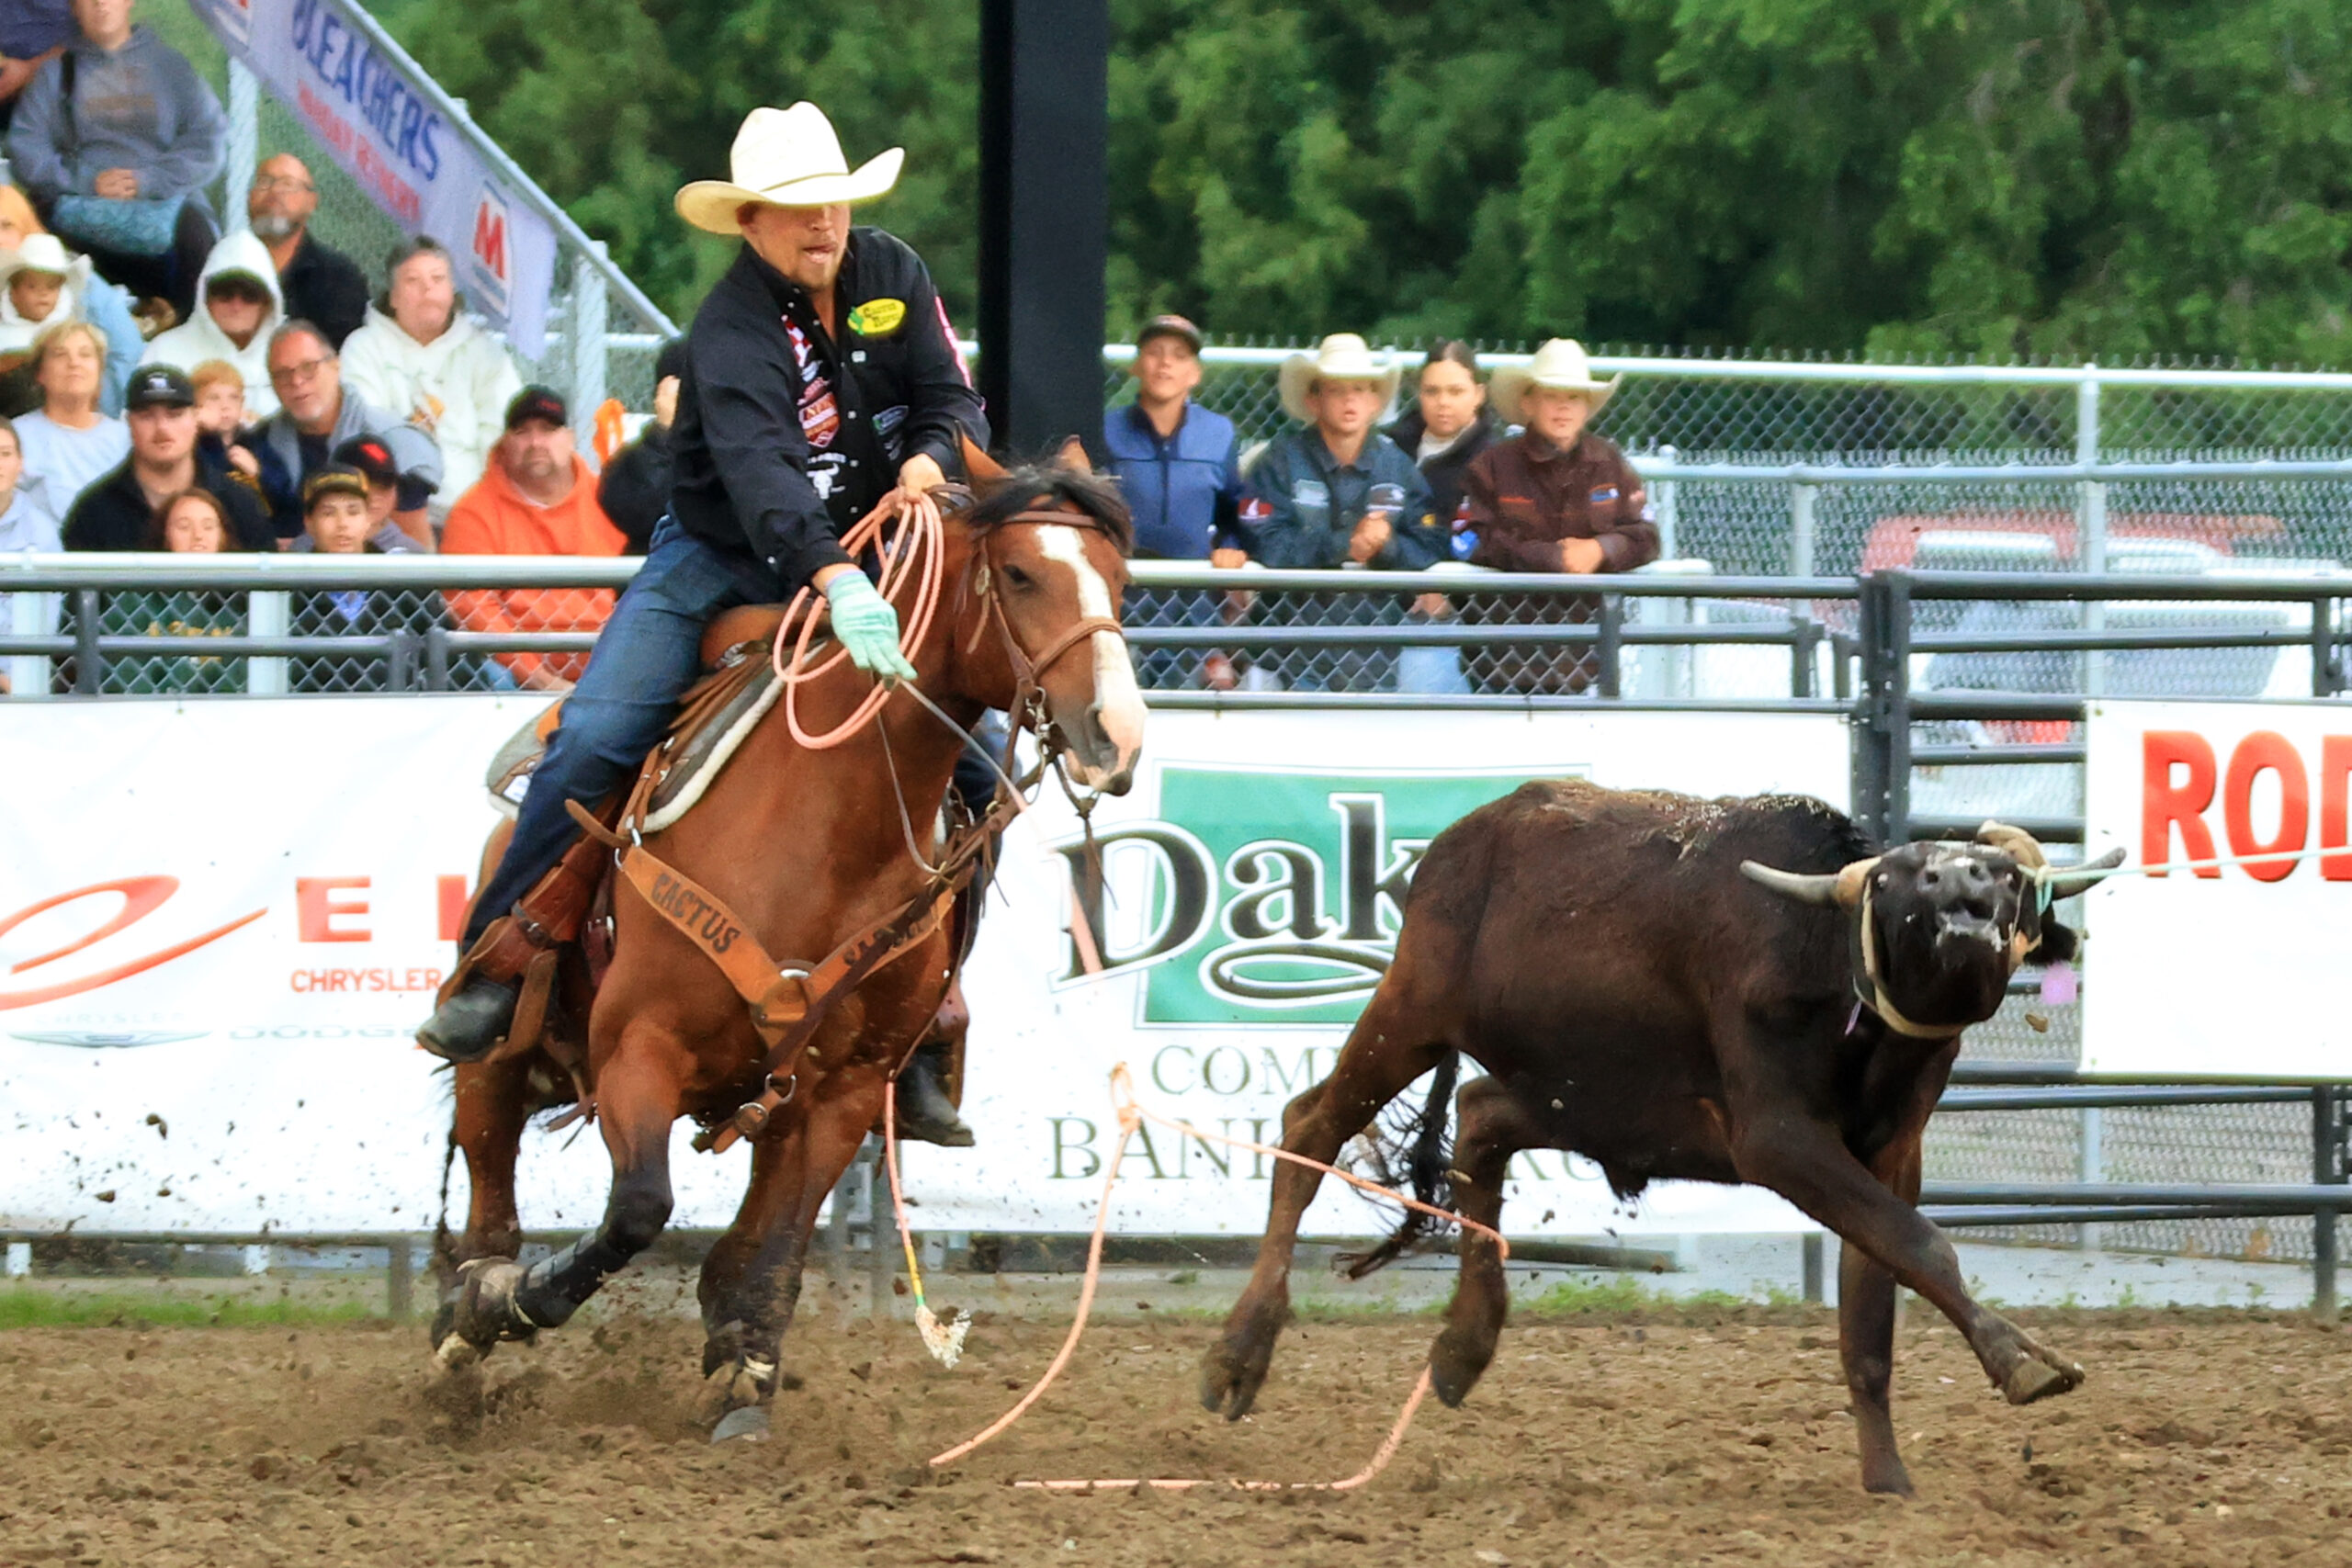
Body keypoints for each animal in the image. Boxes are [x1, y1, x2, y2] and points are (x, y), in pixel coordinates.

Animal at [435, 453, 1148, 1438]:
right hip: (506, 1049)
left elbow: (771, 1245)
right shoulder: (639, 1048)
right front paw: (521, 1299)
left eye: (1119, 579)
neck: (827, 830)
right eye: (1018, 573)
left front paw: (746, 1370)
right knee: (490, 1180)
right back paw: (470, 1317)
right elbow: (639, 1208)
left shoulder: (843, 1089)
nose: (1116, 734)